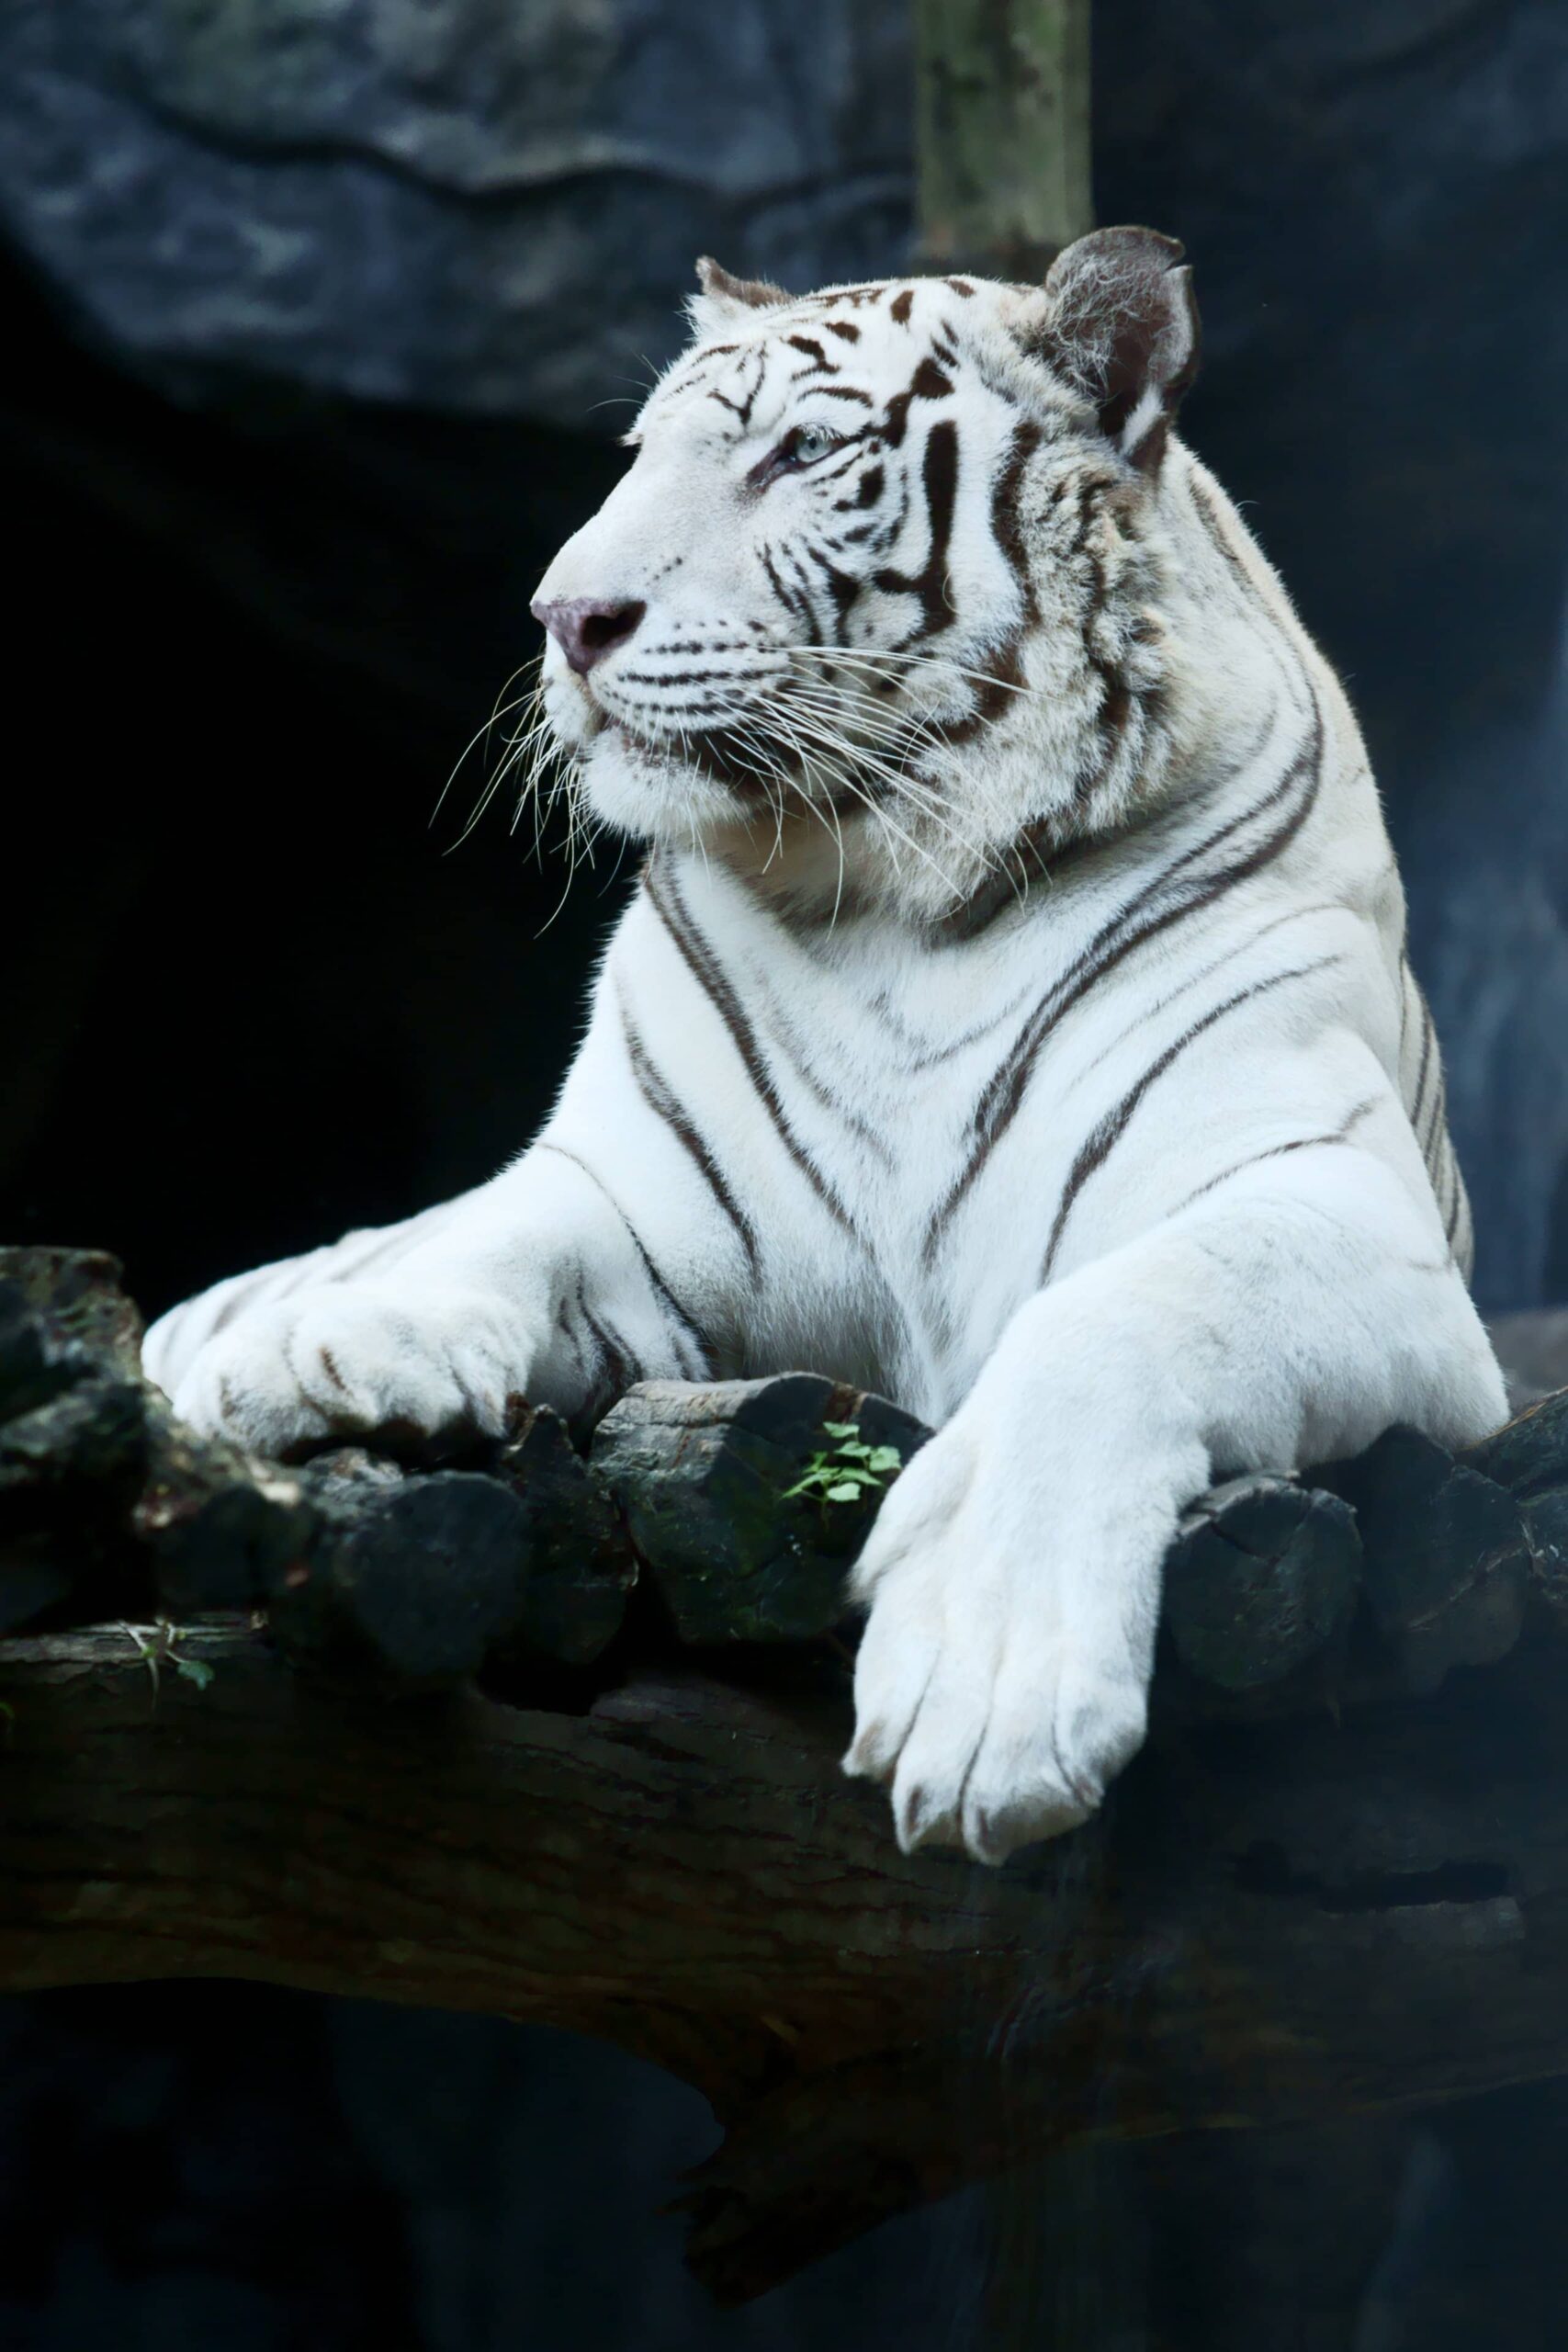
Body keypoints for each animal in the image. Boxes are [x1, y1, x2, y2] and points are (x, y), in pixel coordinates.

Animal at [144, 226, 1507, 1864]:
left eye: (797, 455)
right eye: (638, 459)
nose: (563, 620)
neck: (896, 905)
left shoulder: (1331, 1204)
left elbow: (1111, 1318)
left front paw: (987, 1692)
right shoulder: (647, 1201)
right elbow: (501, 1227)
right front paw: (334, 1343)